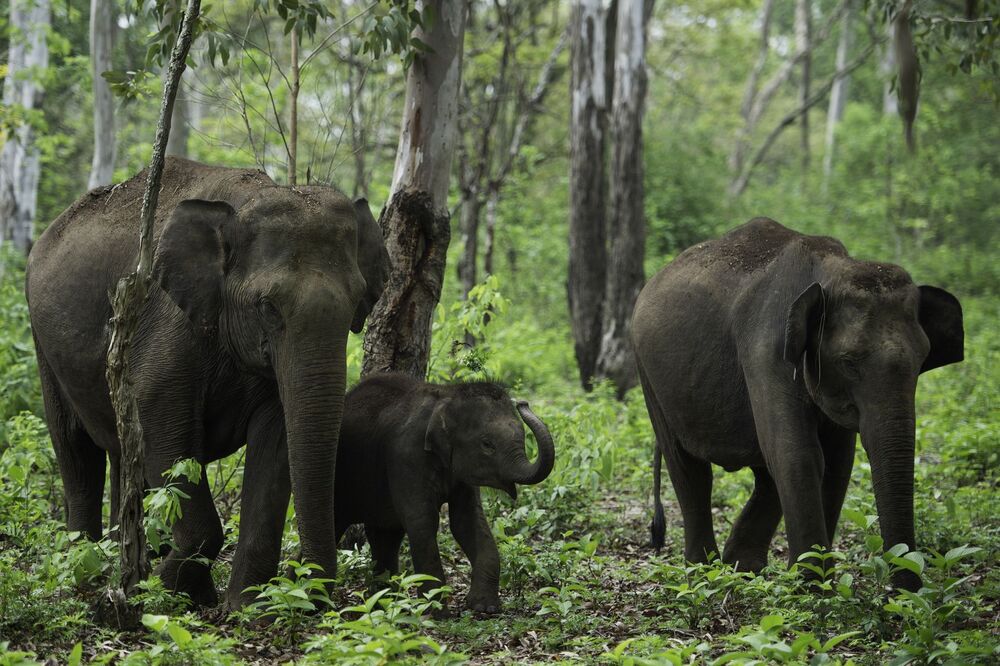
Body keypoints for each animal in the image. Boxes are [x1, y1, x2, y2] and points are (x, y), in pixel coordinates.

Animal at [25, 157, 391, 608]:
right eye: (267, 307)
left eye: (358, 302)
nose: (300, 576)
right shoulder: (165, 328)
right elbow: (166, 437)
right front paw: (175, 591)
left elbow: (275, 444)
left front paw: (244, 607)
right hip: (44, 341)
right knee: (74, 446)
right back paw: (88, 567)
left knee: (121, 455)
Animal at [333, 373, 555, 614]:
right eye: (487, 444)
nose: (523, 403)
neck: (446, 396)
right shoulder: (405, 457)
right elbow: (422, 521)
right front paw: (436, 612)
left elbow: (467, 522)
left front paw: (484, 607)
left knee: (385, 534)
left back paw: (384, 601)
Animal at [632, 218, 963, 590]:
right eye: (849, 362)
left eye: (922, 360)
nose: (903, 589)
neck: (831, 269)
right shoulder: (765, 349)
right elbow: (798, 453)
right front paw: (813, 587)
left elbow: (836, 463)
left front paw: (816, 581)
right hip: (648, 374)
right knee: (688, 468)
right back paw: (703, 570)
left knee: (763, 474)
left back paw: (742, 567)